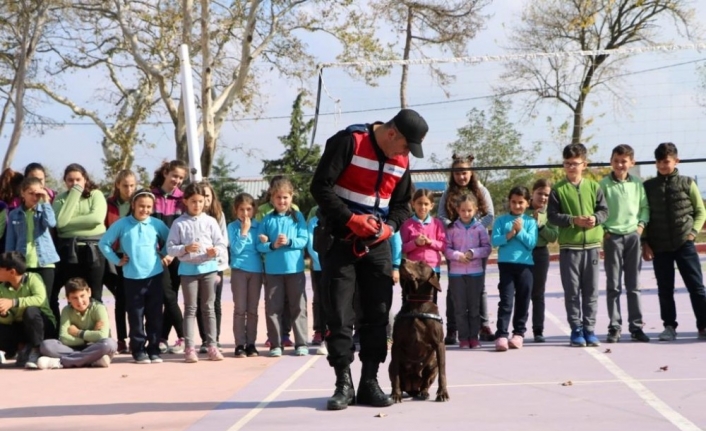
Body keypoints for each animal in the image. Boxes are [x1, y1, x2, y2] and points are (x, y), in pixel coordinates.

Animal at [388, 260, 448, 404]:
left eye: (421, 263)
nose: (402, 260)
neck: (417, 303)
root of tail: (413, 389)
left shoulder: (439, 344)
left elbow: (442, 371)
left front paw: (442, 393)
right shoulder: (396, 344)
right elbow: (396, 376)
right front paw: (395, 395)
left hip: (432, 365)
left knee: (425, 384)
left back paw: (424, 393)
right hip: (390, 365)